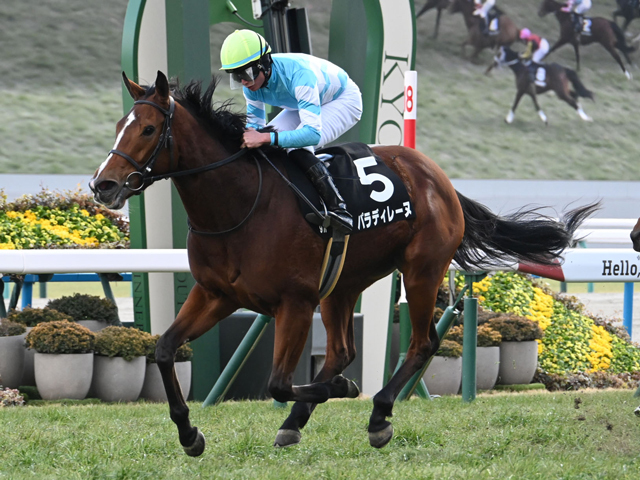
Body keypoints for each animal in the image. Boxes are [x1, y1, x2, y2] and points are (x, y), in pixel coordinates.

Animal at [90, 70, 598, 456]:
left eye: (148, 129)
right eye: (117, 124)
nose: (103, 185)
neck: (239, 207)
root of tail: (440, 179)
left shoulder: (294, 302)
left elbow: (278, 384)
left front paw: (349, 392)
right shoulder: (215, 294)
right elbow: (164, 349)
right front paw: (190, 435)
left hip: (421, 271)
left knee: (420, 344)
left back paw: (378, 414)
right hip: (343, 284)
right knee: (341, 351)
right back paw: (297, 422)